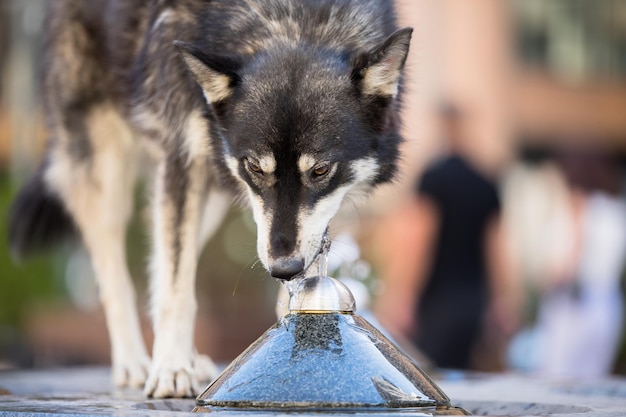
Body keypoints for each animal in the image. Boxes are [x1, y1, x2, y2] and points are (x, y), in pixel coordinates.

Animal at [9, 0, 412, 396]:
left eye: (321, 170)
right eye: (255, 166)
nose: (283, 269)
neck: (294, 20)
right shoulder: (182, 157)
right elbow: (176, 289)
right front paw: (170, 369)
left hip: (211, 194)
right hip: (107, 172)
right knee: (115, 276)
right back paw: (135, 363)